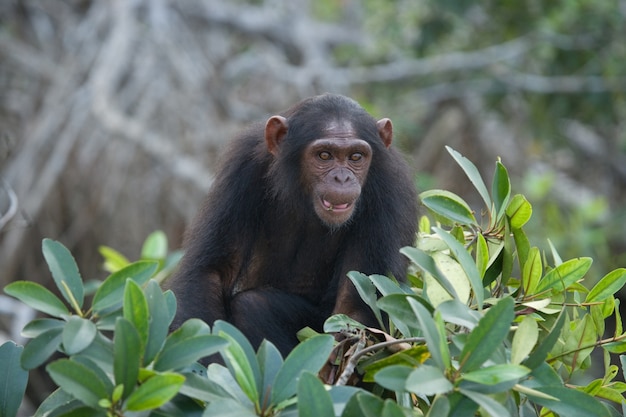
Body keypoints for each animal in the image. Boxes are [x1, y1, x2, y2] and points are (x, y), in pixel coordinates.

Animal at [168, 92, 416, 356]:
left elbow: (355, 307)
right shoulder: (242, 167)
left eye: (356, 157)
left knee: (255, 306)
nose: (342, 178)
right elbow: (211, 272)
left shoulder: (390, 190)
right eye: (324, 155)